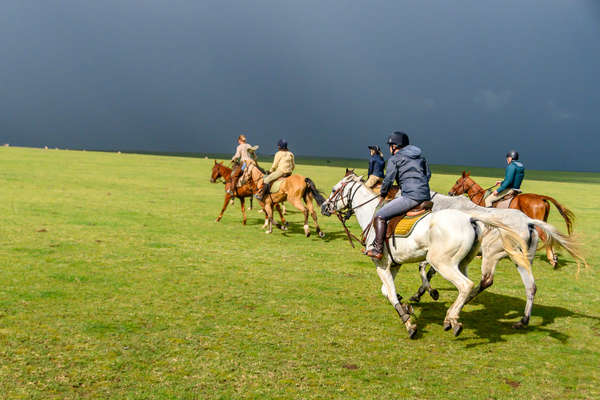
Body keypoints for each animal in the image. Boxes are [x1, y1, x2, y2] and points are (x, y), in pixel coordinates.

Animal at [318, 173, 528, 340]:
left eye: (334, 189)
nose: (323, 207)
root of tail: (470, 219)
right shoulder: (394, 265)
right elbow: (387, 291)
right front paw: (407, 306)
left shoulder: (381, 265)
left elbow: (391, 294)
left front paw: (409, 323)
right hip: (462, 263)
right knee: (475, 285)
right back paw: (451, 317)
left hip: (443, 262)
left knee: (466, 285)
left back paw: (452, 318)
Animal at [408, 191, 584, 328]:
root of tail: (528, 222)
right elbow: (428, 270)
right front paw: (424, 293)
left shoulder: (441, 254)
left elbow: (424, 269)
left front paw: (424, 294)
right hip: (521, 261)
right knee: (531, 287)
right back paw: (523, 320)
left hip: (491, 253)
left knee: (486, 280)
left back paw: (465, 301)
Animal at [448, 171, 576, 268]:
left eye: (457, 182)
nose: (450, 193)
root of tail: (540, 197)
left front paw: (480, 254)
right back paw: (553, 258)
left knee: (545, 237)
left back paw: (552, 260)